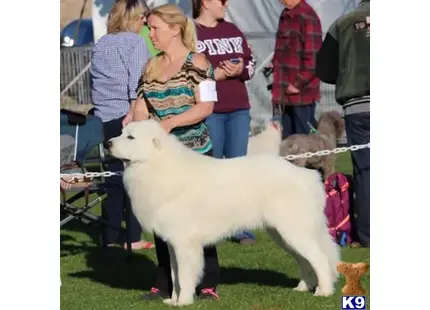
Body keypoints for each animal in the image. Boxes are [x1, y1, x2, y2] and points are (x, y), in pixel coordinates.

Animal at [109, 120, 340, 306]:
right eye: (122, 133)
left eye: (130, 137)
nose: (108, 143)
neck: (157, 165)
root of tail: (308, 176)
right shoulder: (173, 243)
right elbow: (175, 275)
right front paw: (173, 300)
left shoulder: (184, 243)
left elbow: (184, 276)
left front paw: (183, 302)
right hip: (282, 234)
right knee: (304, 260)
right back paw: (303, 287)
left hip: (294, 231)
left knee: (319, 259)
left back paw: (324, 291)